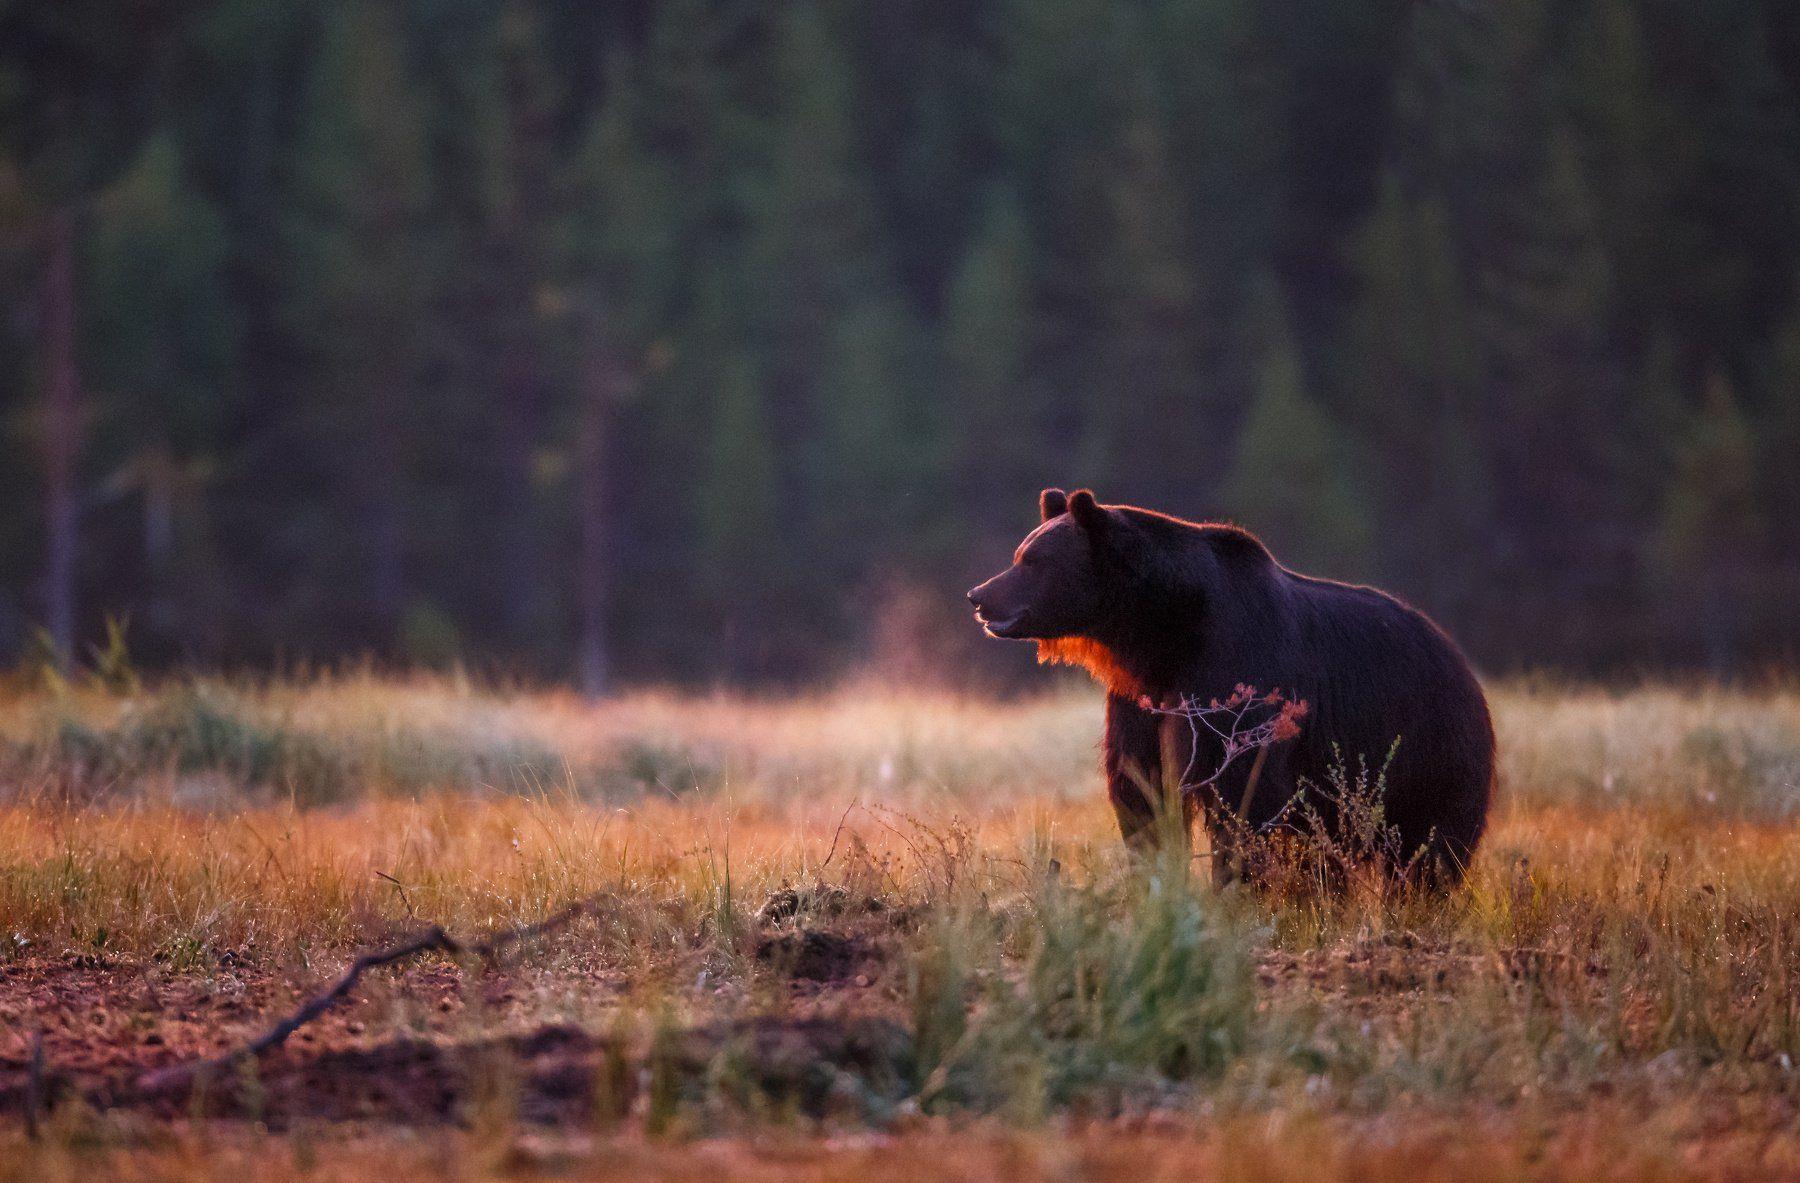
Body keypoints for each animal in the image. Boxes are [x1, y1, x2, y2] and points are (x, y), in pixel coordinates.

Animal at [972, 486, 1490, 882]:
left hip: (1428, 747)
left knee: (1432, 847)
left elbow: (1243, 789)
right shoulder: (1142, 698)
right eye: (1020, 554)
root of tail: (1460, 660)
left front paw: (1235, 886)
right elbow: (1139, 786)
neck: (1166, 631)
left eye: (1032, 561)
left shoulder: (1236, 672)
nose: (979, 595)